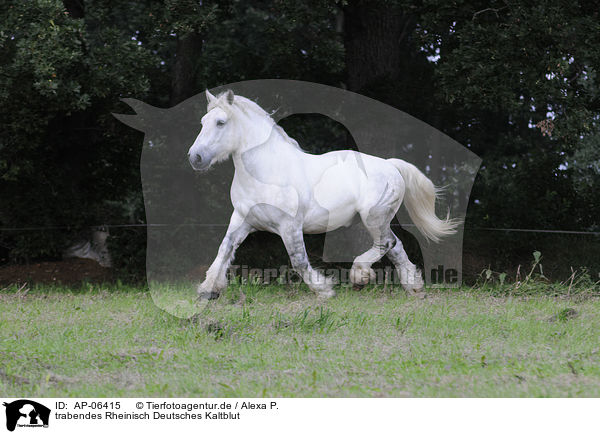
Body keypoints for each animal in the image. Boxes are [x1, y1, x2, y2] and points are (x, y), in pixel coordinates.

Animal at [190, 88, 458, 298]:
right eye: (202, 122)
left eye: (221, 122)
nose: (195, 157)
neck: (266, 172)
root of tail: (391, 165)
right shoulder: (242, 219)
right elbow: (224, 249)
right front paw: (209, 289)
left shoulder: (289, 225)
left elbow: (298, 260)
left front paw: (324, 289)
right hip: (377, 220)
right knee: (396, 246)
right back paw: (413, 286)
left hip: (374, 217)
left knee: (387, 243)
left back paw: (360, 276)